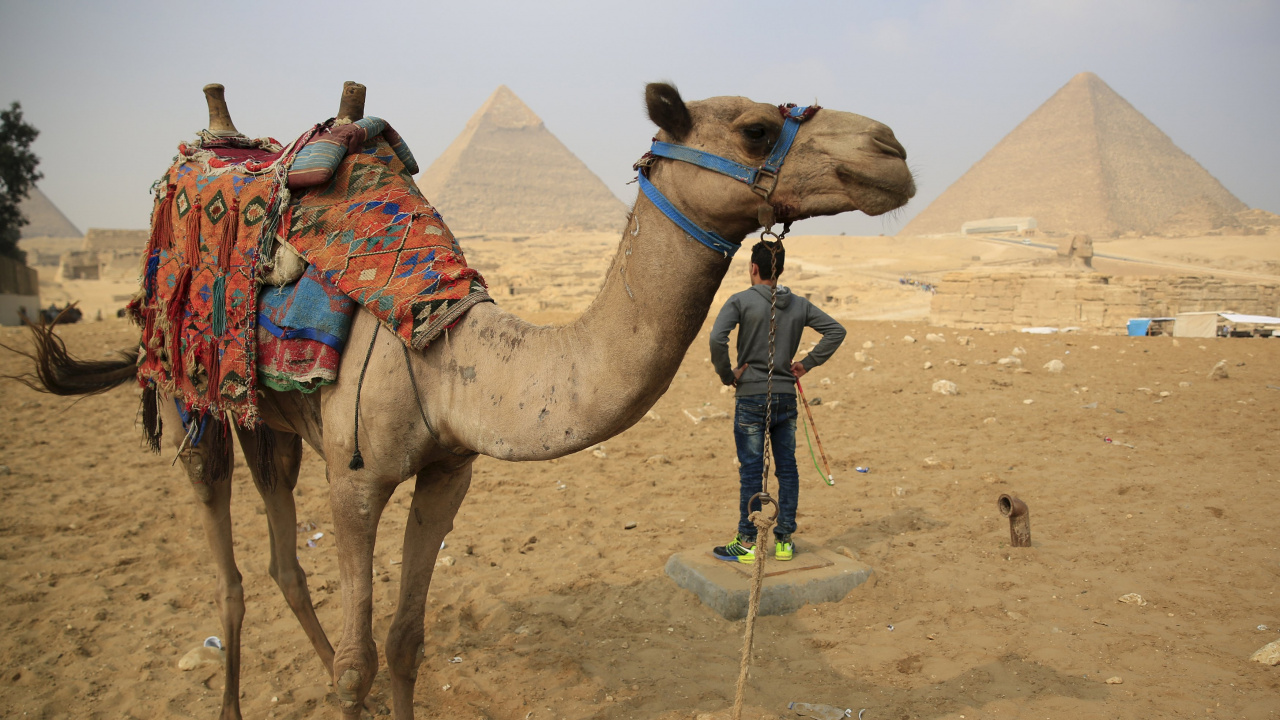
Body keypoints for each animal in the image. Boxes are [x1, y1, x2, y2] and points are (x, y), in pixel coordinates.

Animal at [17, 82, 914, 719]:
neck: (448, 354)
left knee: (279, 553)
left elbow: (406, 642)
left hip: (268, 421)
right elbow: (360, 661)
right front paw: (351, 683)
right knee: (226, 560)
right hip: (182, 390)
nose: (892, 148)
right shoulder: (355, 483)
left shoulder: (448, 473)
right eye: (756, 129)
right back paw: (233, 704)